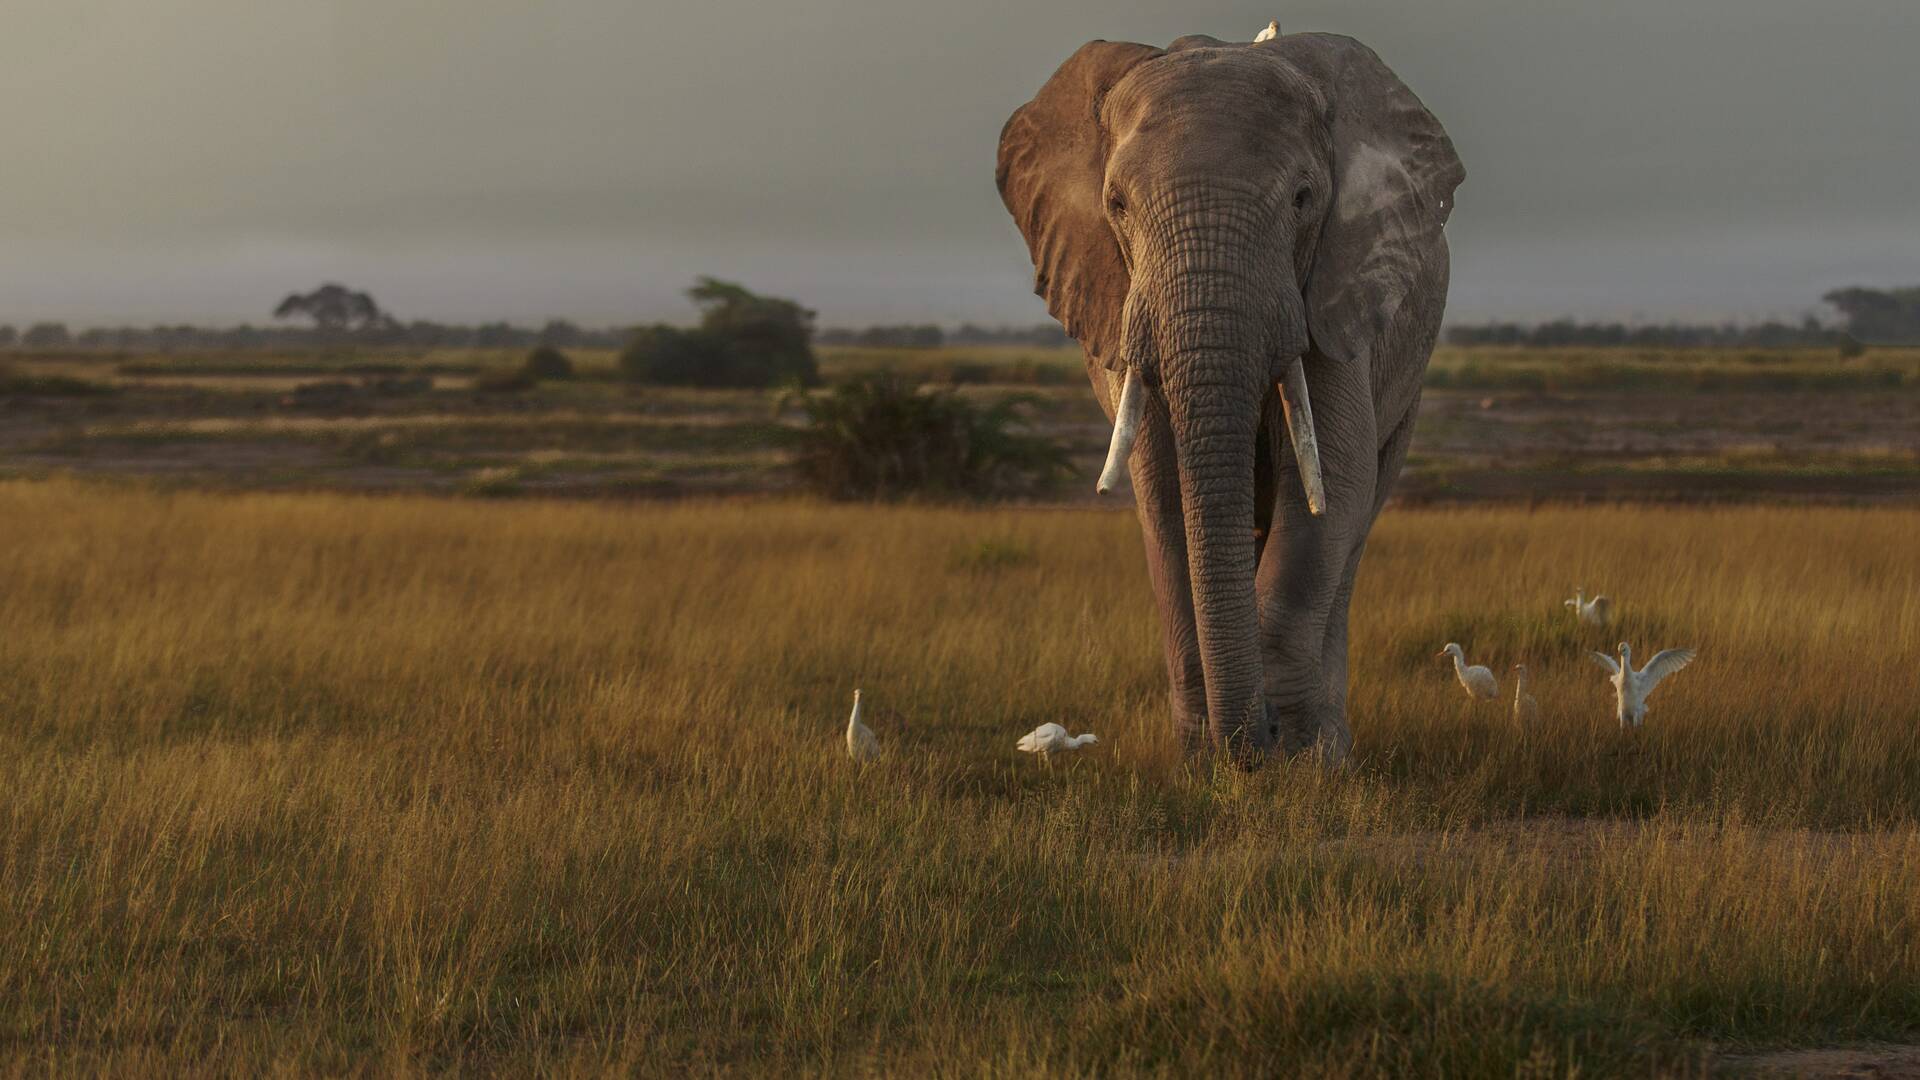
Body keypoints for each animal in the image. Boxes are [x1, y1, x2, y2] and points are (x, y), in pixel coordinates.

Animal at [998, 31, 1459, 757]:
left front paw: (1299, 760)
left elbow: (1334, 481)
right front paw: (1203, 756)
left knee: (1359, 520)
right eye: (1117, 205)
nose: (1254, 738)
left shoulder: (1335, 289)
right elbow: (1163, 491)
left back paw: (1330, 743)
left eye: (1303, 199)